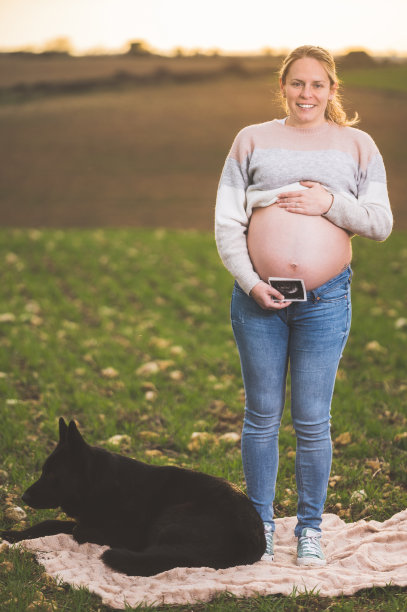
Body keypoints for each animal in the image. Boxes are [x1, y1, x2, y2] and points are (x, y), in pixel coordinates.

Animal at [1, 416, 266, 572]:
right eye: (43, 471)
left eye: (52, 475)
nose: (24, 498)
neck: (98, 483)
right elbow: (47, 523)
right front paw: (12, 535)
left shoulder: (122, 531)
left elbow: (77, 529)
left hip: (171, 515)